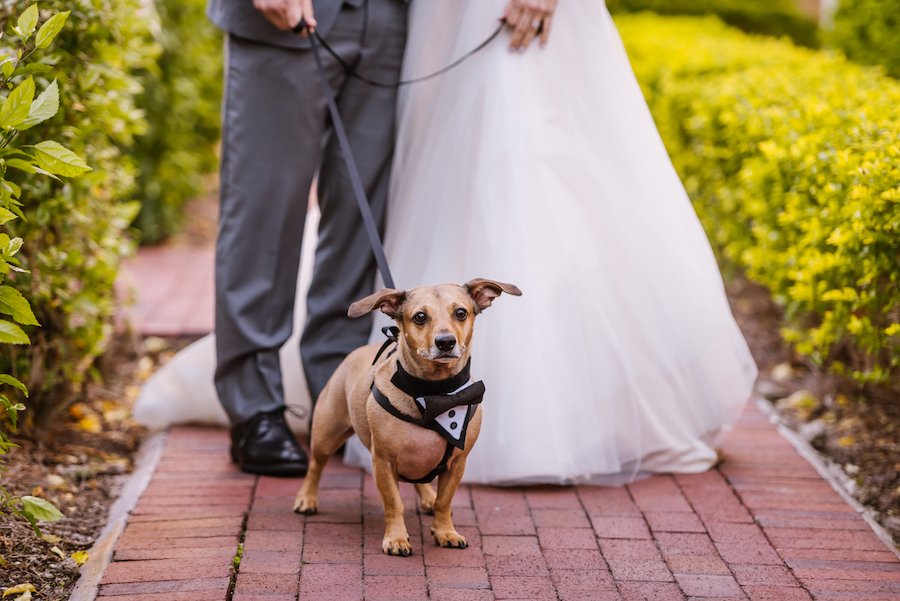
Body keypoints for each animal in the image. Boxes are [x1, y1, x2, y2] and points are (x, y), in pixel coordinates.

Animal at [294, 278, 520, 556]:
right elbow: (394, 503)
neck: (435, 392)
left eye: (461, 312)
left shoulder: (458, 463)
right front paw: (396, 538)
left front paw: (445, 531)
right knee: (315, 466)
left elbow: (444, 502)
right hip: (327, 434)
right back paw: (307, 498)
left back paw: (428, 498)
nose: (446, 342)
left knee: (421, 480)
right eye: (420, 317)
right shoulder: (383, 462)